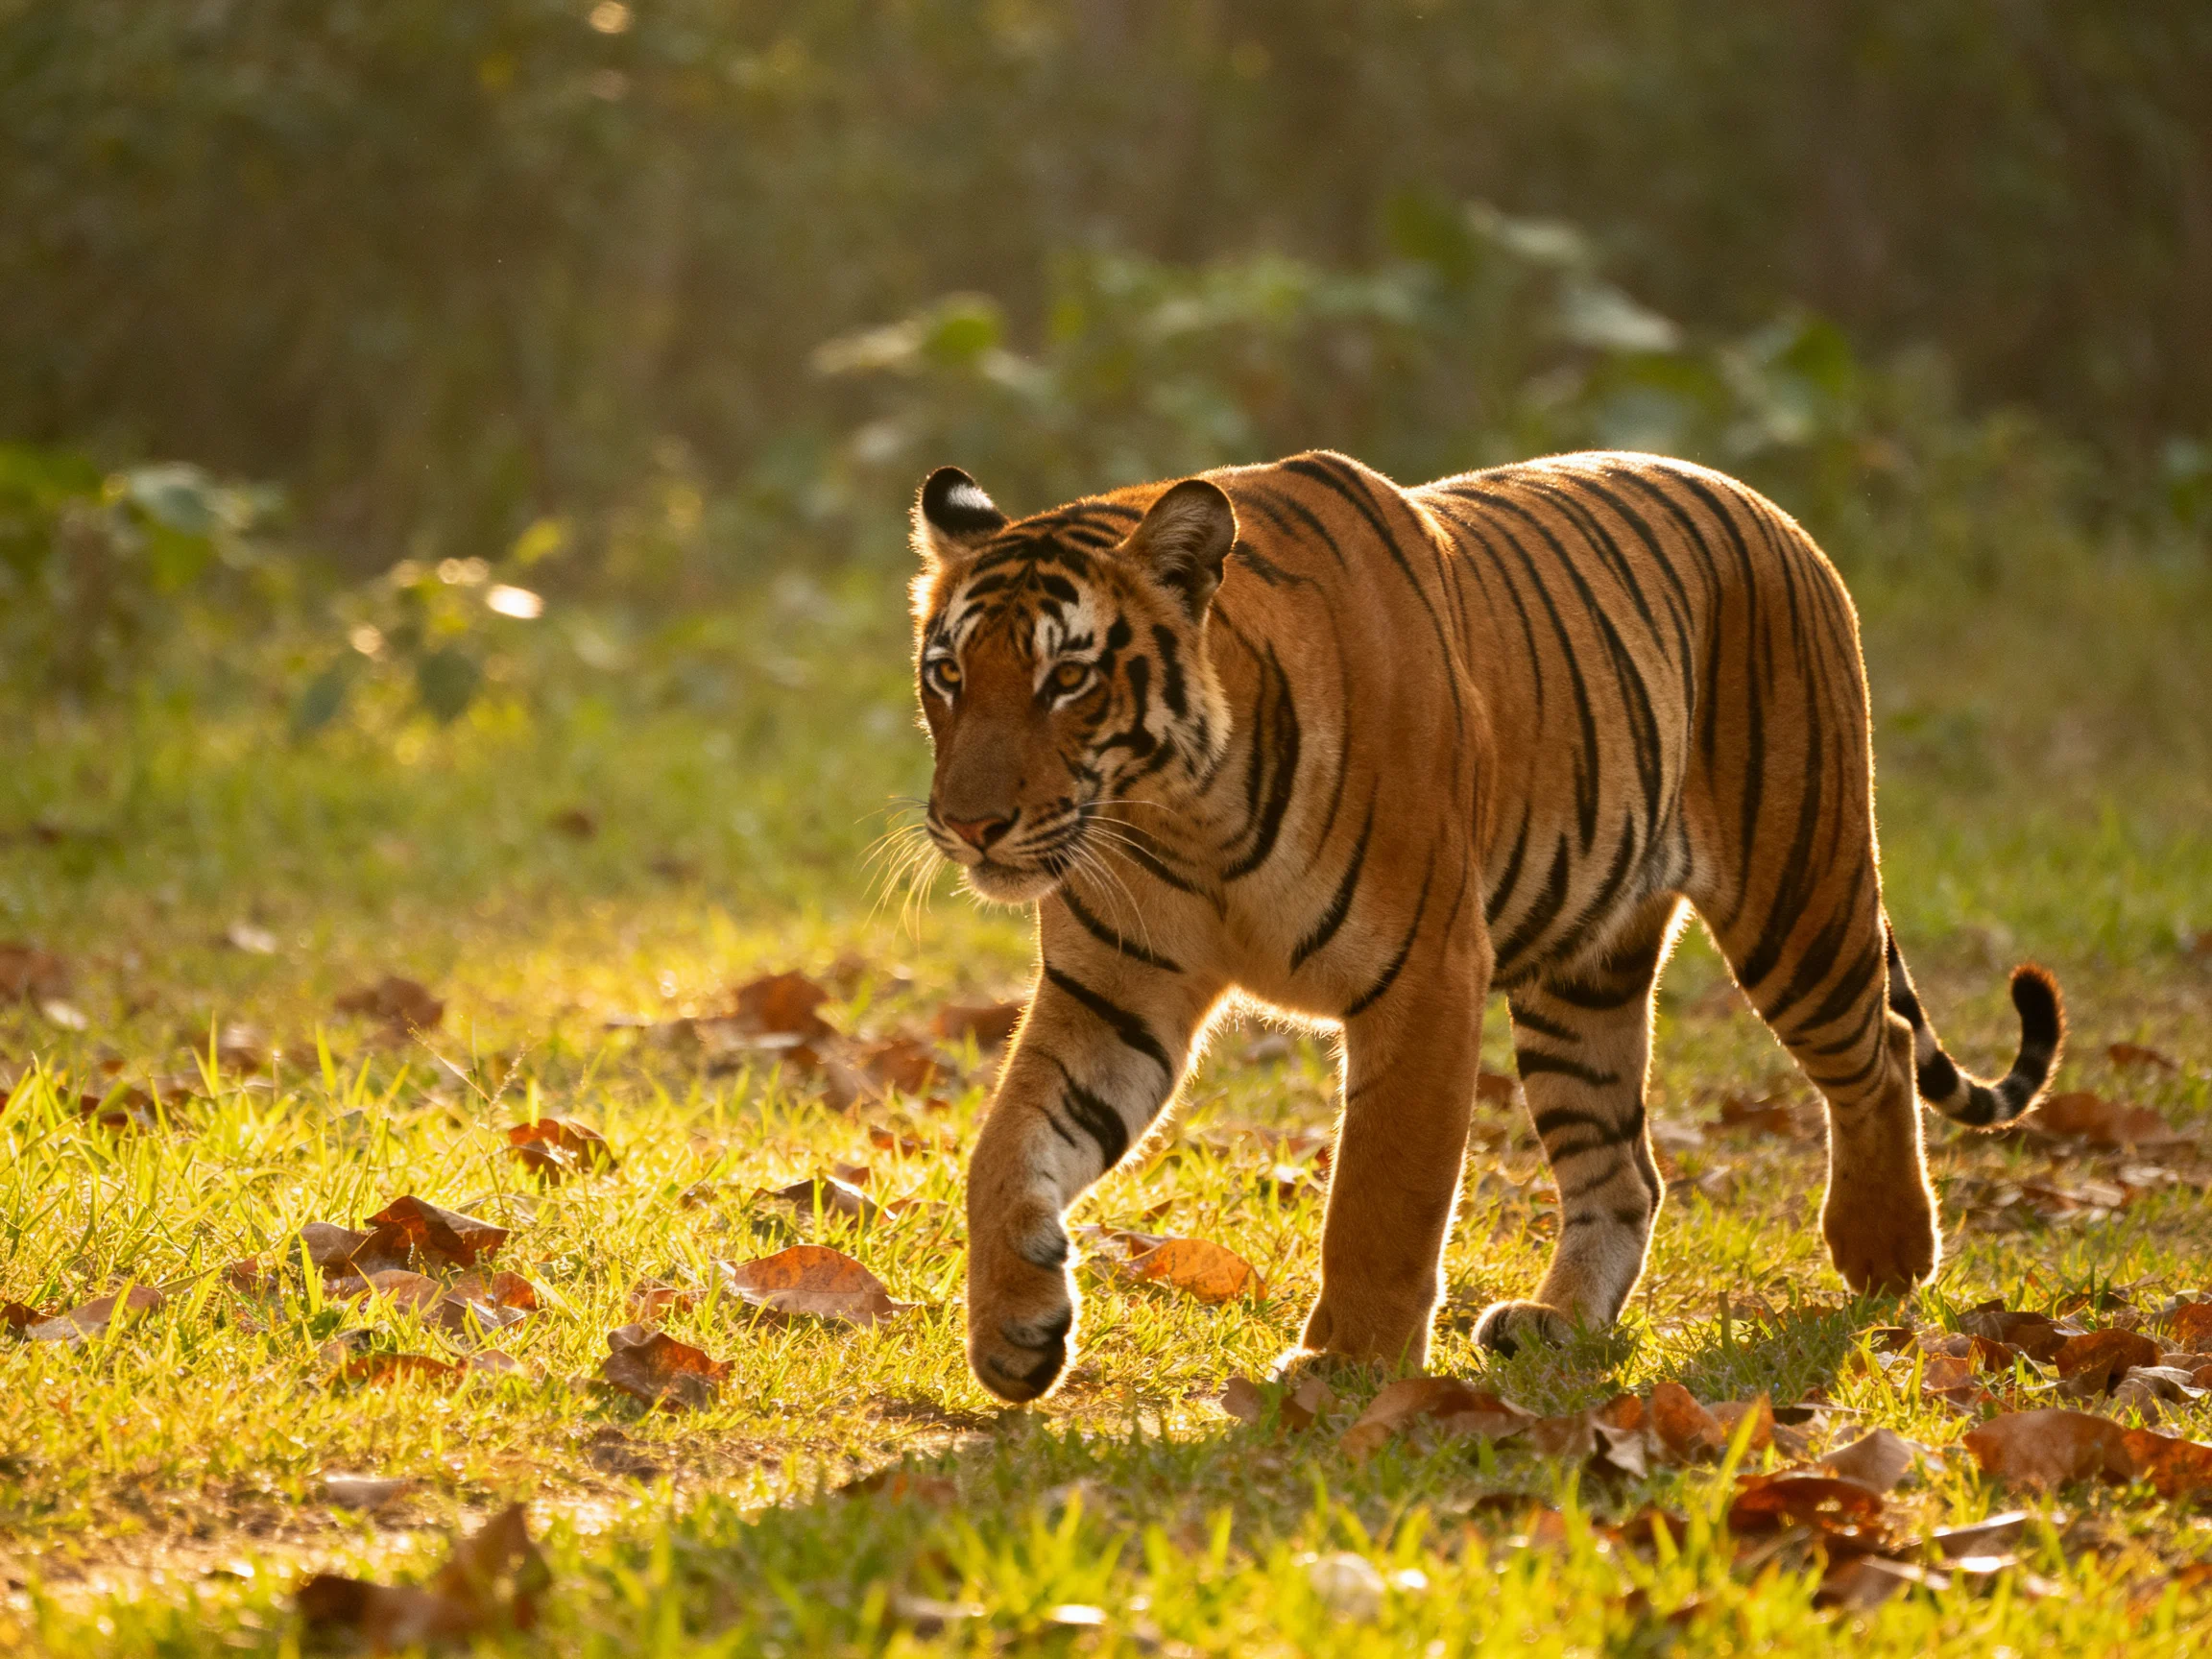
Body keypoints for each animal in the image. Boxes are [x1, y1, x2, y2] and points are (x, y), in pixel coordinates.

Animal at [907, 450, 2063, 1404]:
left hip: (1799, 898)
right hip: (1583, 979)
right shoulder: (1114, 995)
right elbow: (1006, 1146)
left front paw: (1346, 1366)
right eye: (949, 674)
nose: (967, 824)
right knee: (1625, 1170)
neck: (1181, 813)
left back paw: (1886, 1253)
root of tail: (1774, 513)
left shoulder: (1423, 977)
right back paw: (1557, 1323)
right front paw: (1015, 1333)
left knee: (1881, 1049)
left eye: (1068, 678)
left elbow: (1381, 1193)